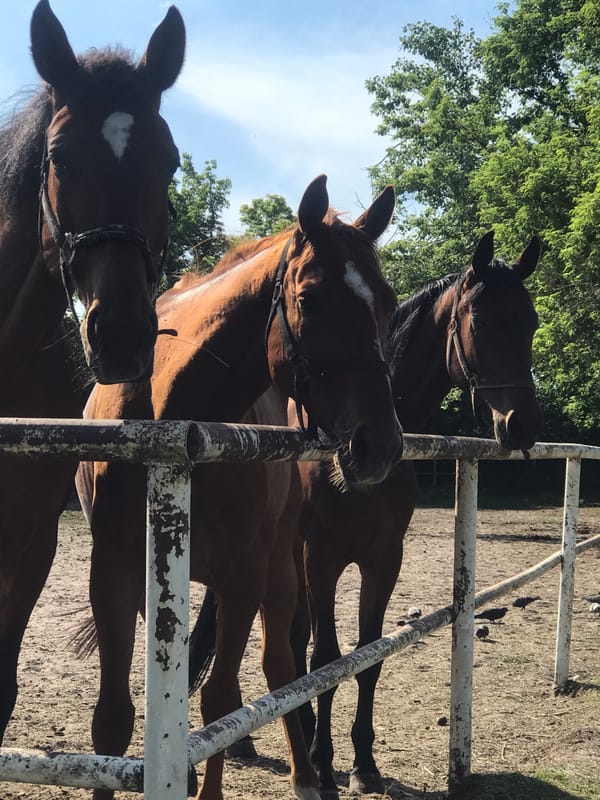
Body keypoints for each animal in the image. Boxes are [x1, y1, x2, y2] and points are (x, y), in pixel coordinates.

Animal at [74, 174, 404, 800]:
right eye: (310, 299)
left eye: (389, 302)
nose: (381, 446)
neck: (171, 411)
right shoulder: (114, 573)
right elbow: (111, 719)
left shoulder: (243, 575)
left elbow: (222, 700)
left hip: (280, 570)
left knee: (281, 666)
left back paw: (307, 776)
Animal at [188, 230, 544, 797]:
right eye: (481, 320)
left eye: (530, 321)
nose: (522, 424)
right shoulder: (322, 560)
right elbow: (326, 659)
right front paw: (322, 758)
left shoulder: (383, 559)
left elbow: (368, 657)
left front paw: (362, 762)